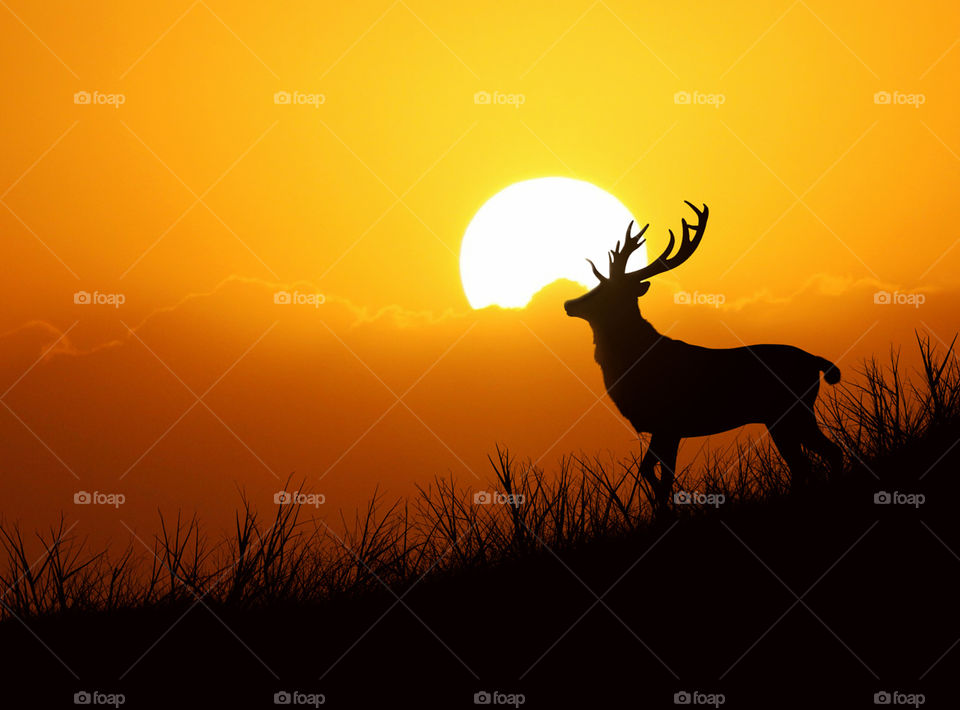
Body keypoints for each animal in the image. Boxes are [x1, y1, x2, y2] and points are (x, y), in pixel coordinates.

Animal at [564, 201, 843, 507]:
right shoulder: (662, 428)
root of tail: (816, 361)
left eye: (605, 290)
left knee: (825, 455)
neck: (632, 364)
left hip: (794, 410)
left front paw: (667, 510)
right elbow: (648, 470)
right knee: (806, 462)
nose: (569, 303)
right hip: (781, 418)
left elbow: (663, 478)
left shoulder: (670, 423)